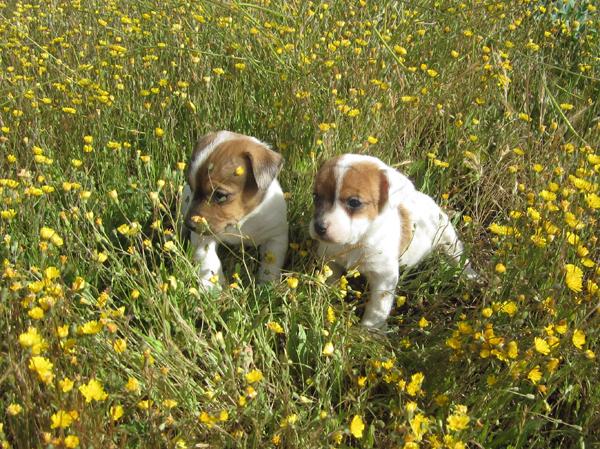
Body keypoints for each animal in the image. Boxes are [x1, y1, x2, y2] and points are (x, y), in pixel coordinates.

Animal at [180, 131, 288, 288]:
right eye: (191, 186)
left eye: (219, 195)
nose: (189, 225)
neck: (242, 221)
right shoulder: (203, 236)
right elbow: (209, 260)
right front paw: (212, 287)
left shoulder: (276, 235)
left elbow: (271, 262)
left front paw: (267, 284)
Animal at [312, 153, 476, 326]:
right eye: (315, 197)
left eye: (354, 202)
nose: (319, 227)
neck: (356, 242)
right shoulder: (331, 262)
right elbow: (332, 280)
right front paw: (330, 302)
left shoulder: (384, 278)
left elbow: (377, 309)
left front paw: (368, 329)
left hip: (449, 241)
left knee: (459, 259)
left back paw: (471, 277)